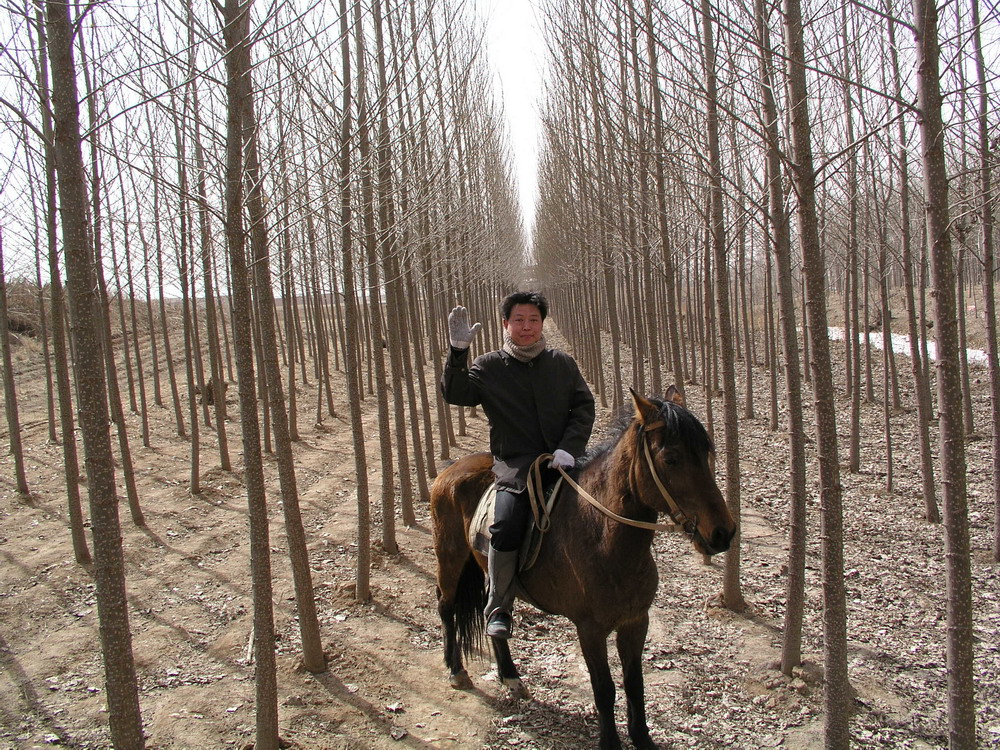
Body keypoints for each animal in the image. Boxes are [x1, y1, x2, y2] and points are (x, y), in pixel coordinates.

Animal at [430, 388, 736, 750]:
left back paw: (510, 676)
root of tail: (451, 469)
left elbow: (634, 684)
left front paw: (642, 738)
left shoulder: (636, 621)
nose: (723, 533)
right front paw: (611, 742)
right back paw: (456, 670)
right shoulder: (590, 629)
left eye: (705, 453)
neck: (605, 537)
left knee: (495, 609)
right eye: (671, 458)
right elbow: (604, 689)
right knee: (446, 606)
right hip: (450, 557)